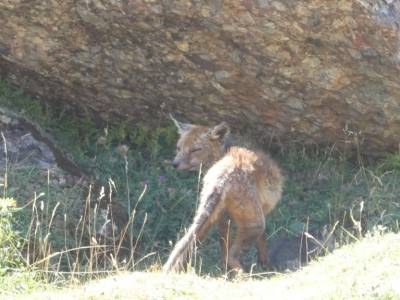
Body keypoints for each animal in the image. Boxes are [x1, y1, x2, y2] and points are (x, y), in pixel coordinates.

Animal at [163, 116, 284, 274]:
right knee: (232, 255)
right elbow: (262, 244)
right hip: (254, 224)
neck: (222, 154)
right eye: (179, 148)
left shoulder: (224, 219)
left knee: (199, 246)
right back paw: (243, 275)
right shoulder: (262, 214)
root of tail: (224, 174)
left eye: (195, 150)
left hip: (210, 220)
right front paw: (265, 265)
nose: (174, 164)